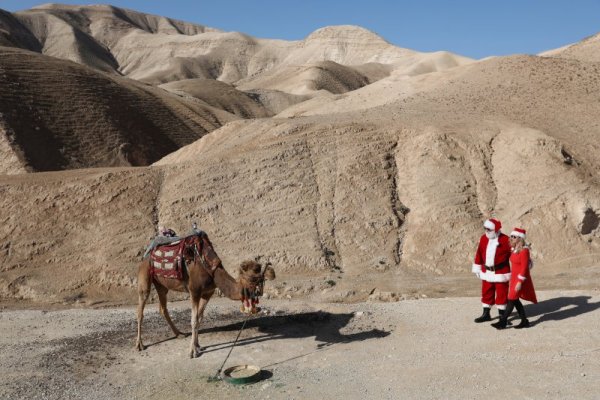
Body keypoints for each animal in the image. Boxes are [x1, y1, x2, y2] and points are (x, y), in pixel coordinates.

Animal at [135, 233, 276, 358]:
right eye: (253, 275)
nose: (272, 273)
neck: (212, 271)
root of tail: (146, 256)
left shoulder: (207, 293)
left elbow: (199, 318)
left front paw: (198, 345)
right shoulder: (194, 291)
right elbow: (193, 320)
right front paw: (192, 352)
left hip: (161, 285)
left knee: (163, 308)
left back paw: (179, 334)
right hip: (144, 275)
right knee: (140, 310)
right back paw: (139, 345)